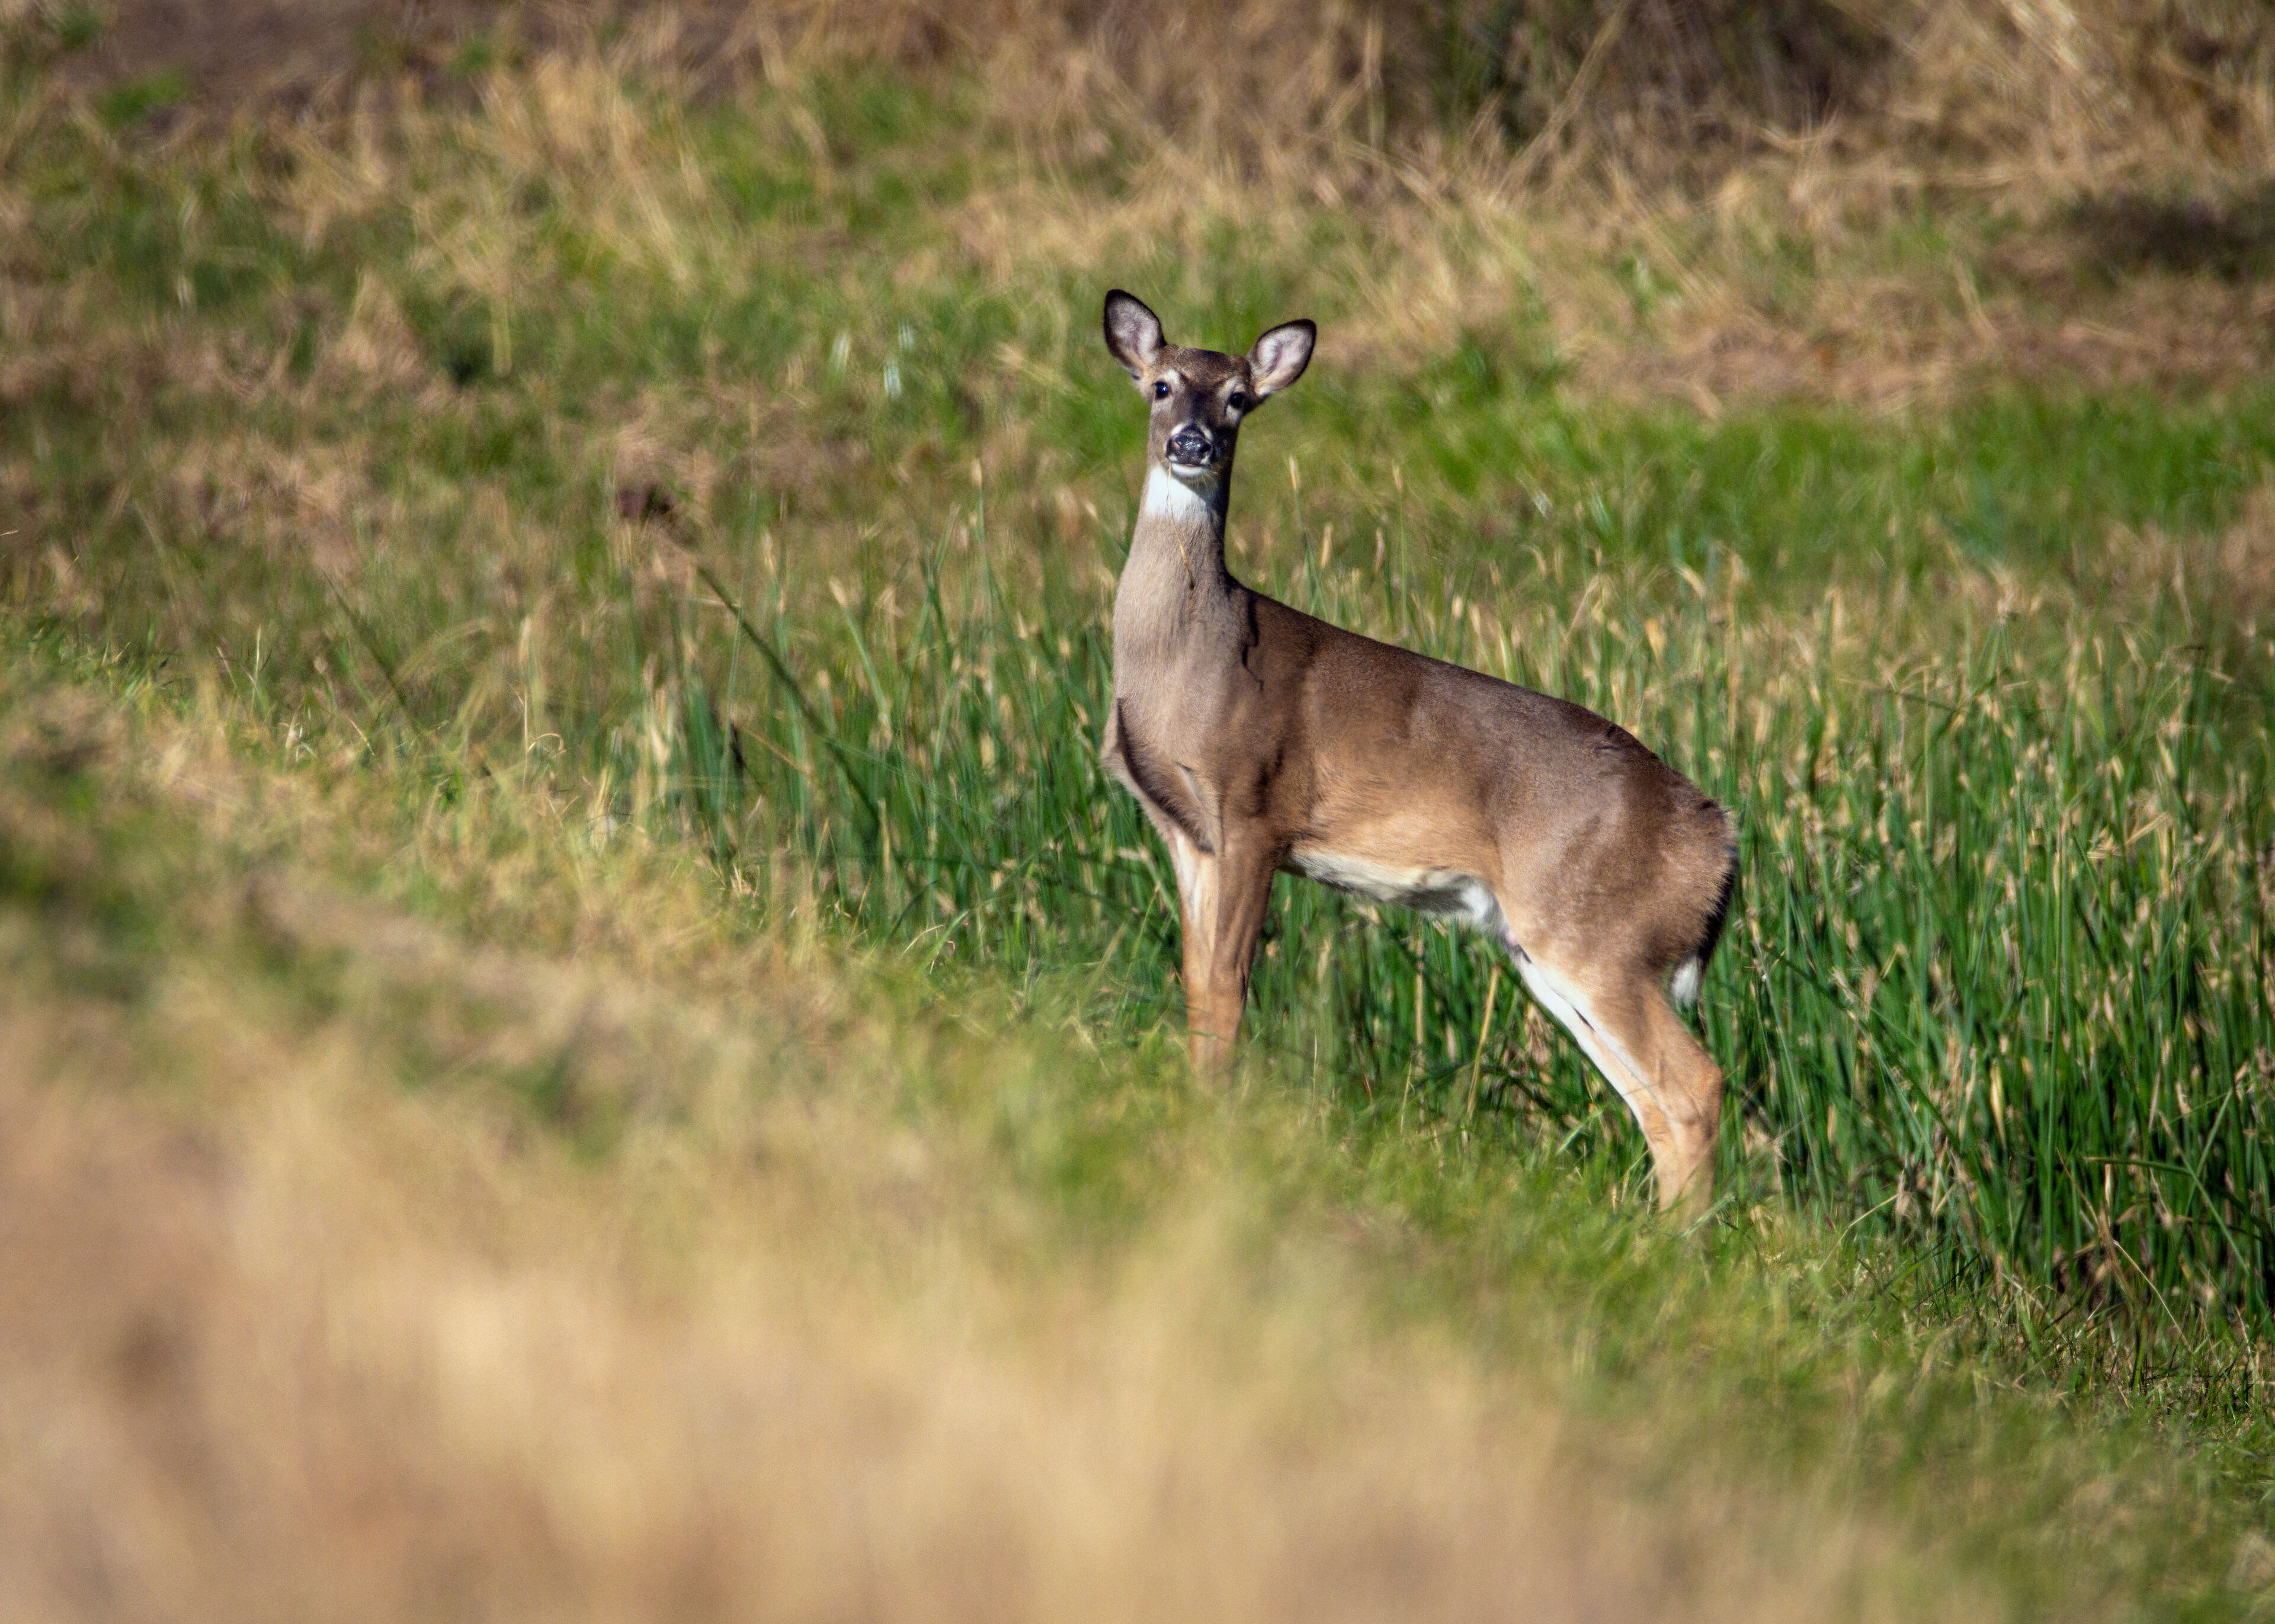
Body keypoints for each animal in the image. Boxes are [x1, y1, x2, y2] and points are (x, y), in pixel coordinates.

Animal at [1097, 290, 1739, 1213]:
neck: (1187, 662)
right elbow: (1196, 991)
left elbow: (1226, 992)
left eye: (1239, 399)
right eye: (1160, 385)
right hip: (1550, 944)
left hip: (1596, 931)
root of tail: (1718, 833)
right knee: (1653, 1099)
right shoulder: (1188, 832)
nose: (1193, 442)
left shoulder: (1255, 808)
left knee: (1695, 1083)